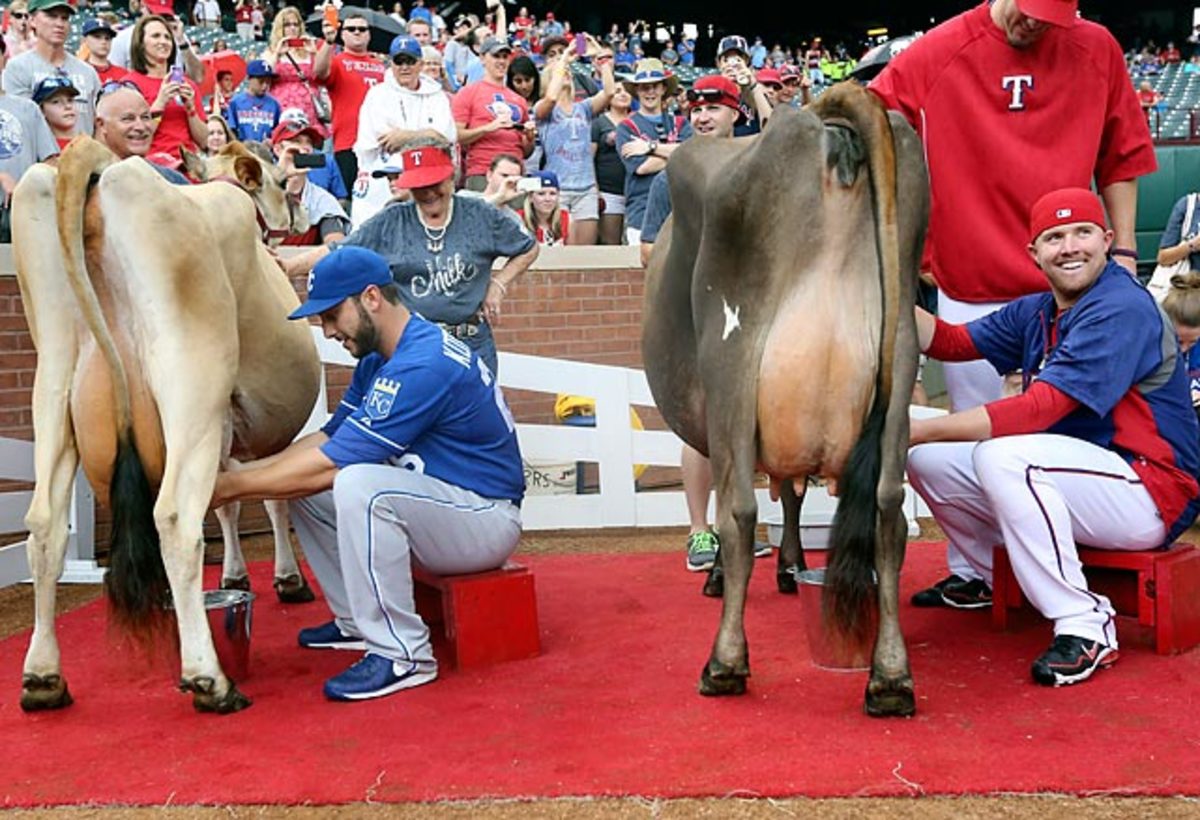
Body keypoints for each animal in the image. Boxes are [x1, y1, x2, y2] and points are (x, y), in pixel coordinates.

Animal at [16, 139, 324, 710]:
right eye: (279, 180)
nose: (299, 215)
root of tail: (99, 163)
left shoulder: (226, 427)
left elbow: (228, 507)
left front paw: (235, 574)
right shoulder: (250, 429)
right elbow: (270, 501)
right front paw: (288, 579)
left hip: (53, 387)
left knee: (45, 522)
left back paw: (43, 678)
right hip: (190, 385)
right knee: (177, 517)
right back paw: (210, 679)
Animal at [643, 80, 931, 715]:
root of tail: (820, 121)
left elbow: (748, 502)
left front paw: (724, 577)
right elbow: (794, 491)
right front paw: (794, 563)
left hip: (732, 359)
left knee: (739, 513)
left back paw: (725, 663)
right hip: (901, 360)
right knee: (888, 511)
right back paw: (890, 677)